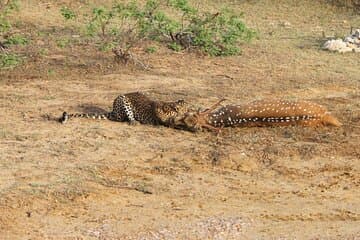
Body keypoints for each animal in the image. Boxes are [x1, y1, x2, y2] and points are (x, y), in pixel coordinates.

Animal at [59, 91, 194, 126]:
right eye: (187, 109)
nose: (191, 110)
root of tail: (113, 111)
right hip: (122, 99)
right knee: (123, 118)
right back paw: (134, 122)